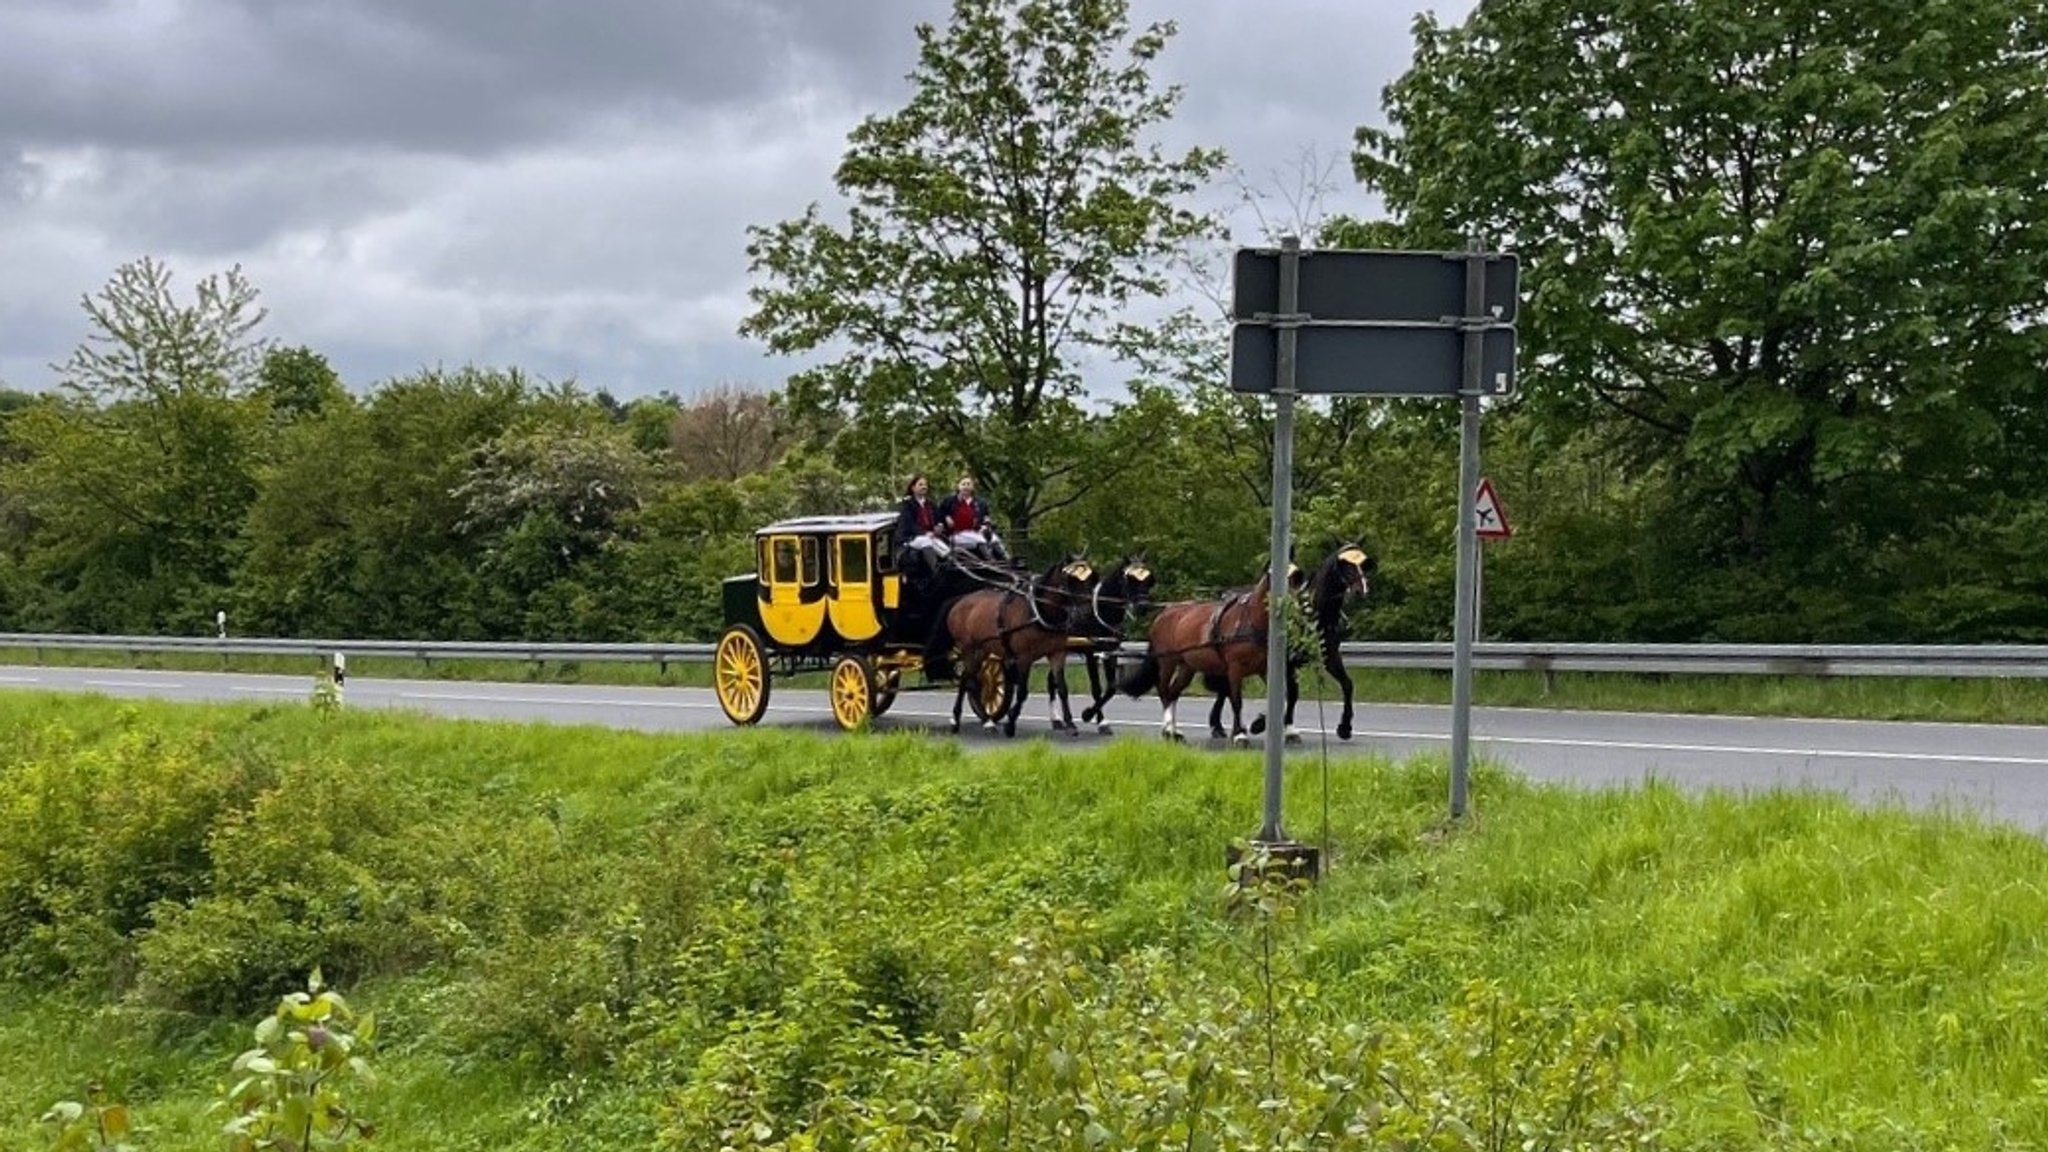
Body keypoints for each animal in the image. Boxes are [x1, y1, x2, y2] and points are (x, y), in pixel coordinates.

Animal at [921, 557, 1097, 733]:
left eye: (1090, 579)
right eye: (1071, 580)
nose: (1087, 613)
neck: (1038, 611)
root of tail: (959, 600)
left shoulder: (1057, 653)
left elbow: (1062, 688)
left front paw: (1070, 723)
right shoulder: (1024, 657)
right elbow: (1022, 692)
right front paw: (1011, 723)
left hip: (980, 651)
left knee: (966, 680)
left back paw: (965, 720)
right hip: (969, 649)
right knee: (969, 682)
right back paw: (982, 721)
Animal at [1114, 561, 1302, 737]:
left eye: (1297, 577)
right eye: (1275, 577)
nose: (1293, 604)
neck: (1250, 622)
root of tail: (1163, 614)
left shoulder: (1265, 669)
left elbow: (1283, 696)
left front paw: (1259, 724)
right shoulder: (1235, 669)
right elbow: (1236, 701)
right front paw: (1239, 734)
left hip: (1187, 666)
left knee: (1174, 692)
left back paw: (1174, 731)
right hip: (1167, 661)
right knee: (1163, 690)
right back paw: (1167, 728)